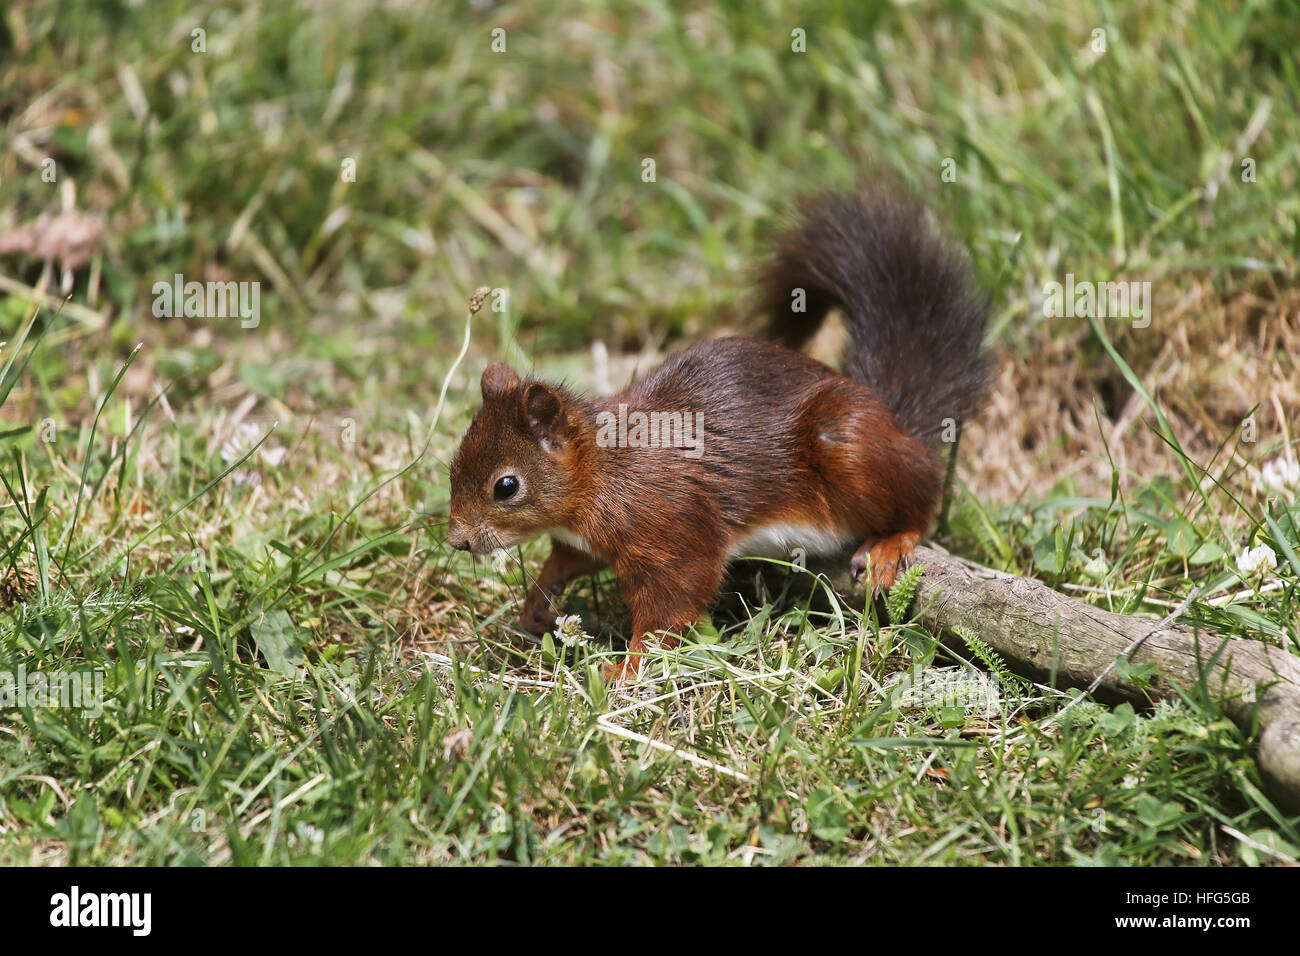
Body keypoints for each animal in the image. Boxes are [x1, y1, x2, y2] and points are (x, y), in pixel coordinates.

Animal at [449, 188, 993, 681]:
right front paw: (538, 600)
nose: (457, 542)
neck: (603, 472)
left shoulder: (670, 526)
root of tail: (893, 421)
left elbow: (674, 601)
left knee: (923, 492)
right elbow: (568, 559)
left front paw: (626, 669)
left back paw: (891, 542)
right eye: (452, 466)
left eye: (506, 486)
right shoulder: (586, 538)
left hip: (850, 445)